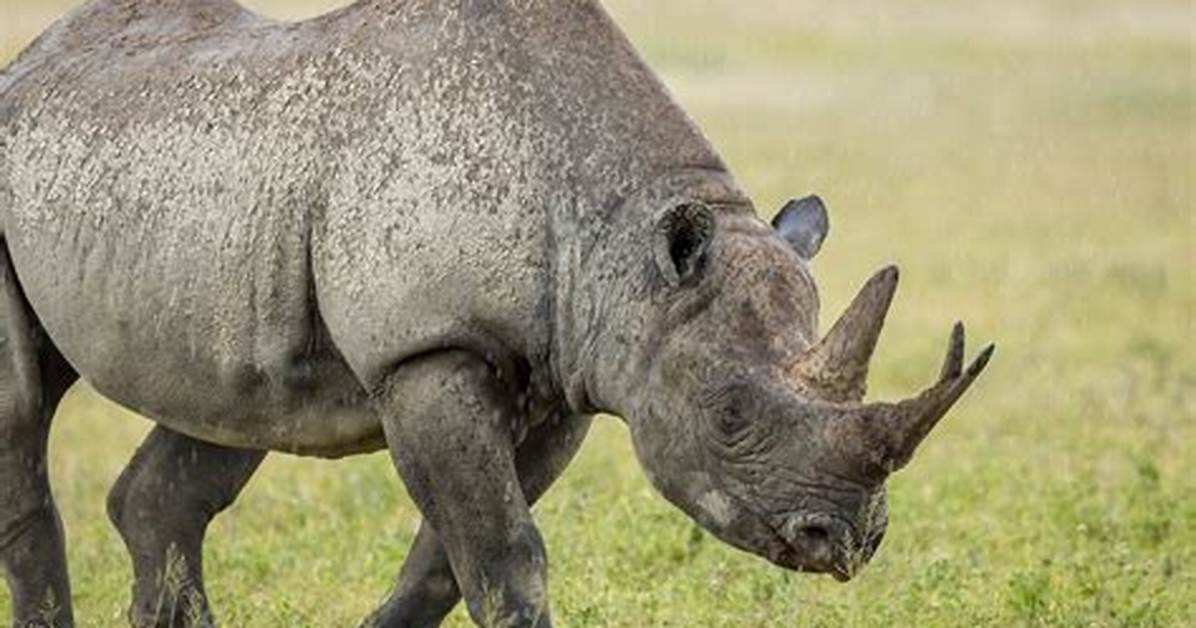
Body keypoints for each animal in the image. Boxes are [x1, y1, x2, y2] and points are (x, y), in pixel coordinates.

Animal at [0, 0, 993, 626]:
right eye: (729, 416)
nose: (848, 542)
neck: (625, 244)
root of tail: (32, 61)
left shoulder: (566, 375)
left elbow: (450, 560)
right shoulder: (427, 352)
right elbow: (502, 554)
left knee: (226, 411)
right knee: (23, 411)